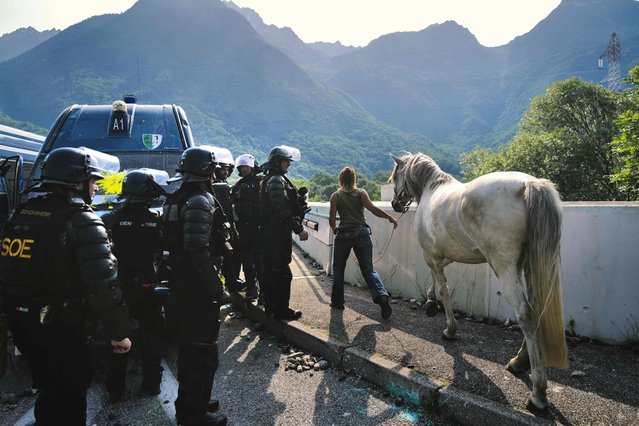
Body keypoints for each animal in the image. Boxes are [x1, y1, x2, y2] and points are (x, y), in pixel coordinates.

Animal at [390, 152, 568, 410]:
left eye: (395, 176)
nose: (395, 204)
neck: (432, 189)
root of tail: (529, 184)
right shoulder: (445, 255)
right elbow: (436, 275)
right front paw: (430, 300)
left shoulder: (431, 253)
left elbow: (444, 288)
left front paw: (449, 328)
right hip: (528, 264)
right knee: (536, 310)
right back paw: (519, 362)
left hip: (504, 267)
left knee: (525, 313)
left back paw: (538, 393)